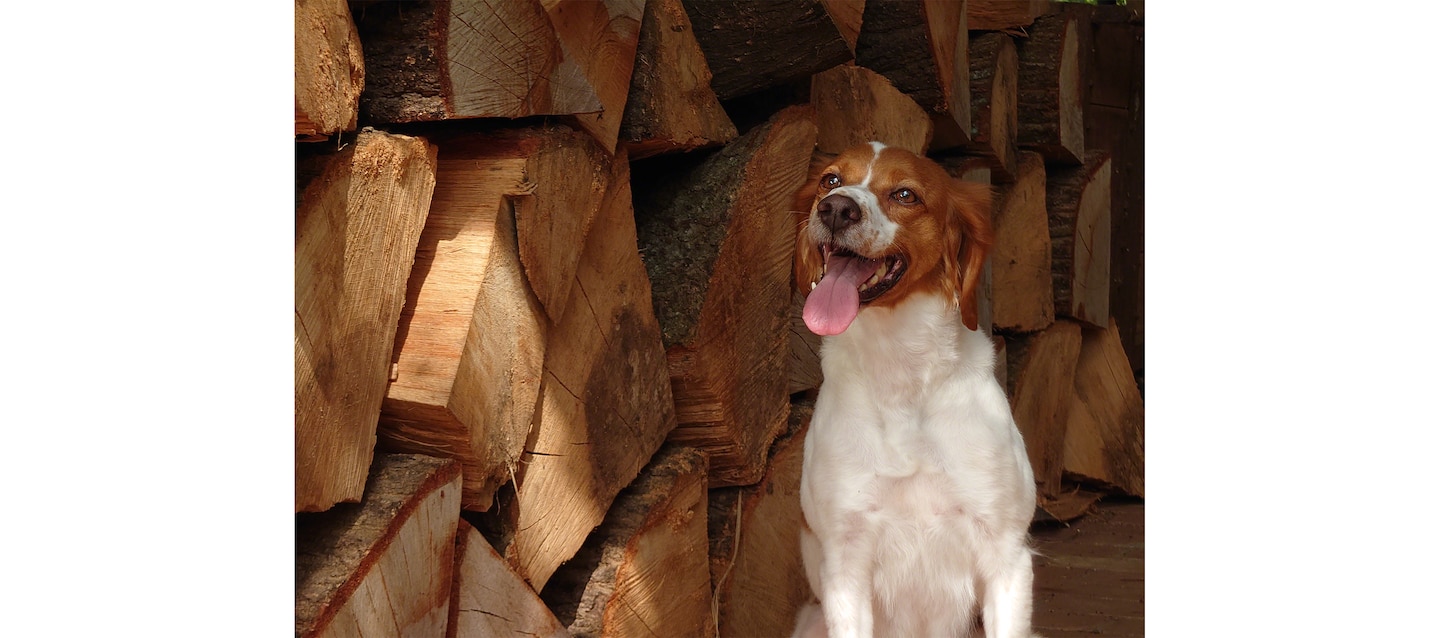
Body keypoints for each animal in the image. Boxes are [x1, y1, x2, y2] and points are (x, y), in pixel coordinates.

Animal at [794, 142, 1042, 636]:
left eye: (905, 194)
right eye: (830, 180)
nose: (835, 208)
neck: (901, 375)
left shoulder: (1006, 554)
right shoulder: (845, 561)